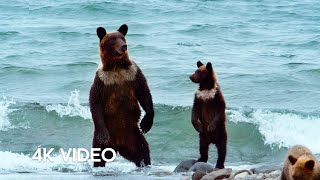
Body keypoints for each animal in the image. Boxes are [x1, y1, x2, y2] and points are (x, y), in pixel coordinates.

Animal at [89, 23, 154, 167]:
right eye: (112, 40)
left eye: (122, 37)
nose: (124, 46)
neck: (116, 66)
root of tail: (118, 145)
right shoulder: (102, 80)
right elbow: (95, 101)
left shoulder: (133, 73)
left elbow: (144, 93)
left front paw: (146, 123)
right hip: (104, 140)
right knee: (99, 154)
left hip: (134, 136)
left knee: (143, 150)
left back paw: (145, 163)